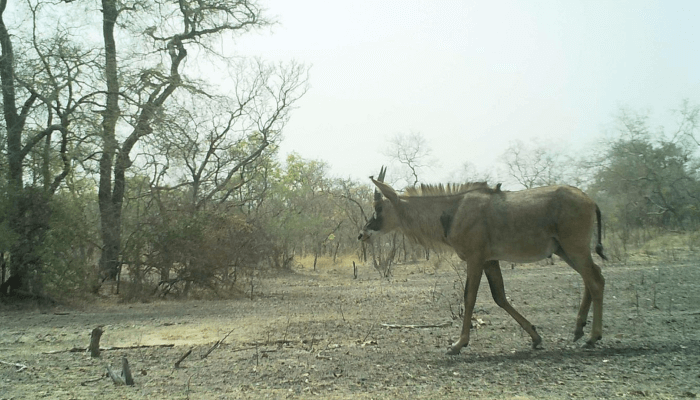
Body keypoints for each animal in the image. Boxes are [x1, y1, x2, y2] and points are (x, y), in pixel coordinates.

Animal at [358, 167, 607, 355]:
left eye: (378, 207)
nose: (362, 234)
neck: (453, 209)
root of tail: (590, 200)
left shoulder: (475, 259)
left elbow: (469, 297)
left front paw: (458, 344)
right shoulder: (490, 260)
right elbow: (500, 297)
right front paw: (535, 337)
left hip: (575, 248)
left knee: (595, 281)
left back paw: (592, 337)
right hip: (565, 251)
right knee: (593, 277)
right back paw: (578, 330)